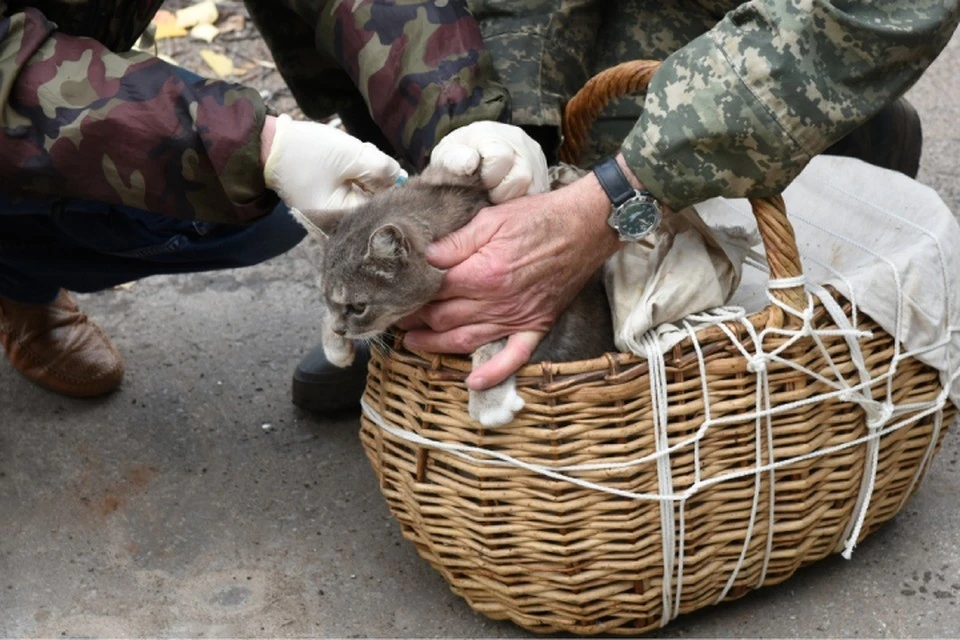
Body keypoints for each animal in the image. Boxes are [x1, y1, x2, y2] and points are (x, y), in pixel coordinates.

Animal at [292, 162, 616, 428]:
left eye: (359, 306)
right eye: (326, 299)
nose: (340, 329)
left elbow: (491, 340)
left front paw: (488, 400)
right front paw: (334, 343)